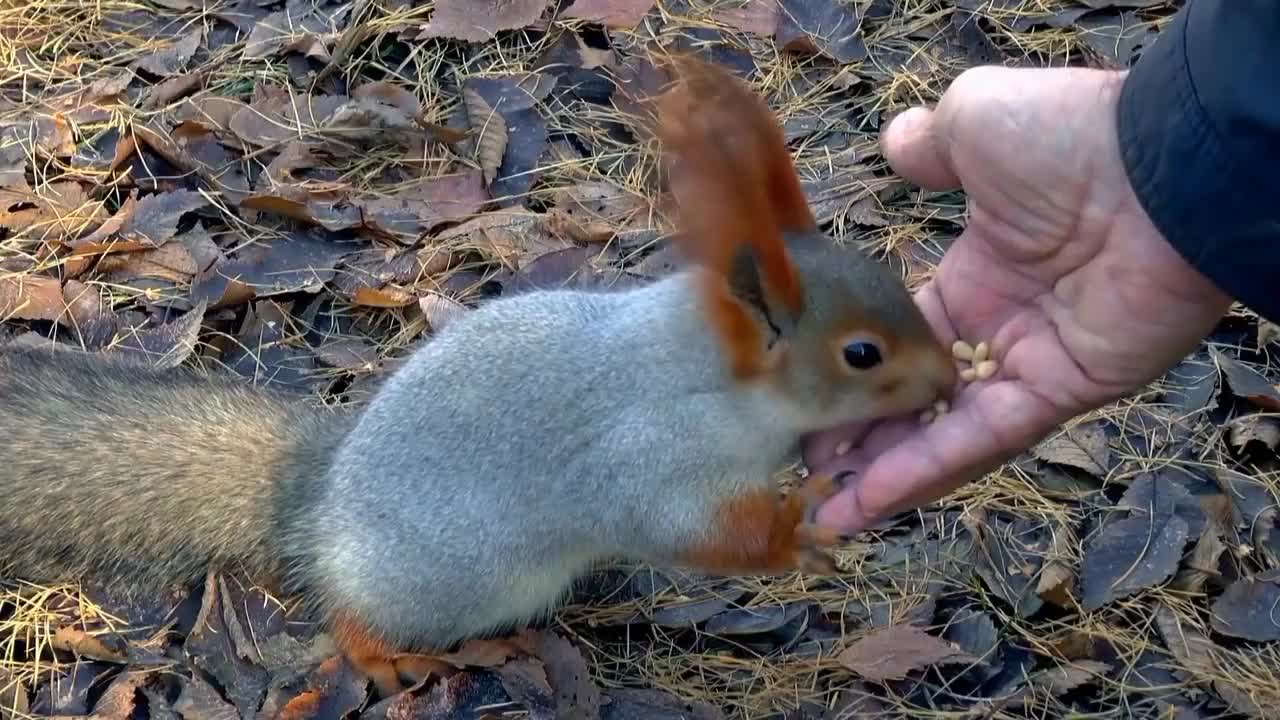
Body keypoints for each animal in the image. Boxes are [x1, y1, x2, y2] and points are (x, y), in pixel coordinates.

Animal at [0, 57, 962, 696]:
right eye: (862, 353)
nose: (952, 385)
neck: (709, 375)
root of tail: (316, 503)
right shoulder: (647, 454)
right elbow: (680, 527)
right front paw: (796, 532)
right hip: (446, 580)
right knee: (354, 622)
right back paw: (392, 655)